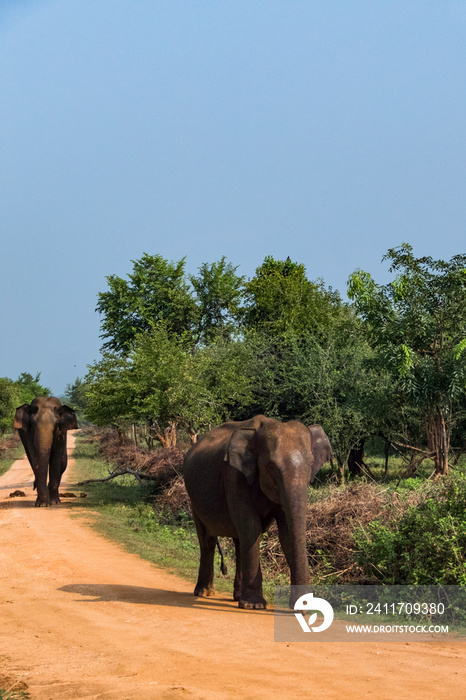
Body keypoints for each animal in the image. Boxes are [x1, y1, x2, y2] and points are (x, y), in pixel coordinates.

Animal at [182, 416, 328, 608]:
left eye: (311, 464)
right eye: (271, 466)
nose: (304, 607)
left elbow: (286, 534)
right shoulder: (234, 475)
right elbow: (251, 528)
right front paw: (253, 605)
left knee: (239, 540)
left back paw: (236, 596)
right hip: (194, 500)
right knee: (208, 540)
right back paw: (204, 592)